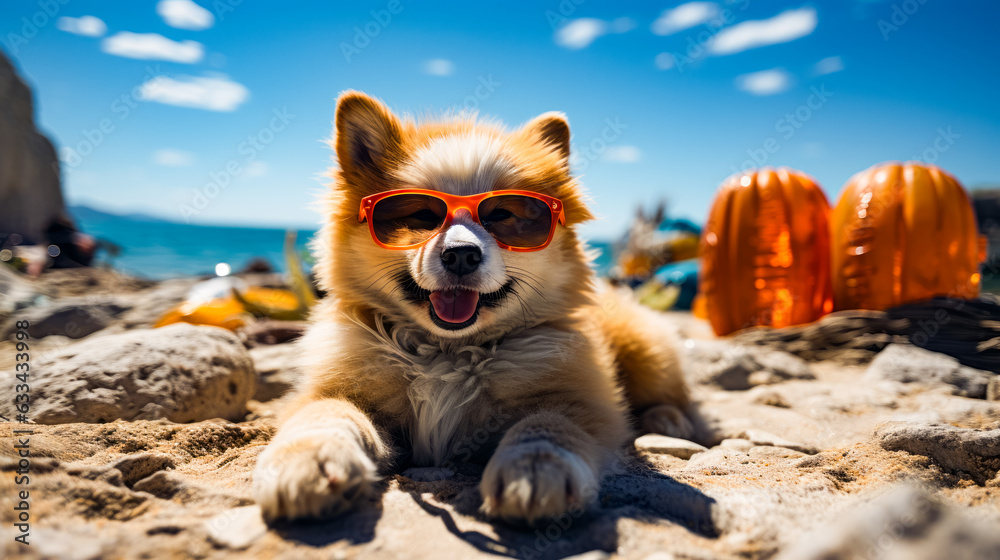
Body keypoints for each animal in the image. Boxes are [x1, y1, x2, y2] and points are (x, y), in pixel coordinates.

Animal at [254, 89, 692, 524]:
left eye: (503, 215)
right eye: (420, 214)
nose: (461, 254)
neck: (447, 353)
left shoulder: (582, 400)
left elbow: (548, 424)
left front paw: (534, 470)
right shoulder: (336, 389)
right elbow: (327, 414)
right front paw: (309, 460)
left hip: (646, 350)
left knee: (669, 393)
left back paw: (669, 421)